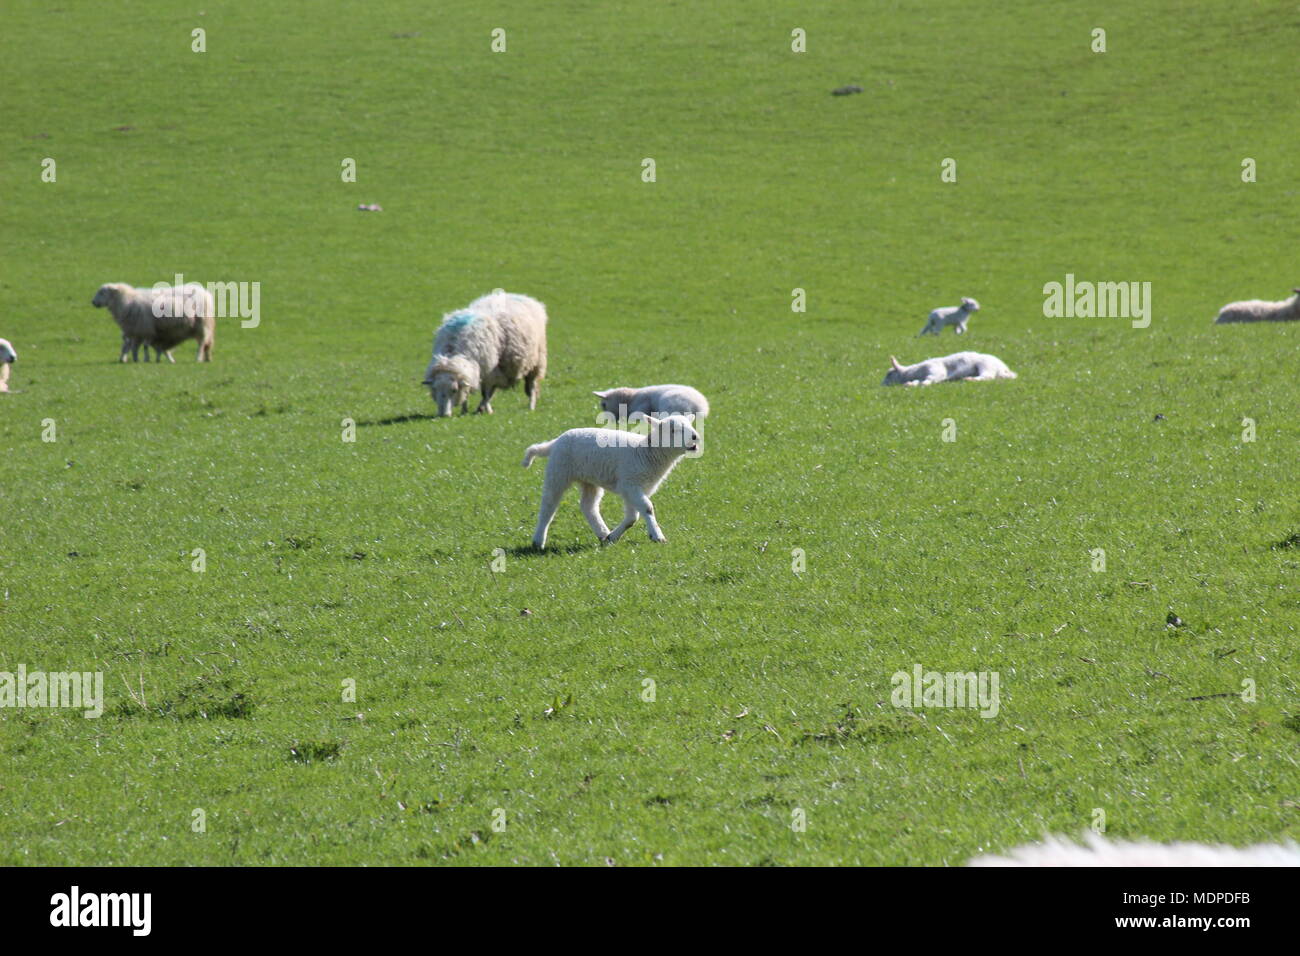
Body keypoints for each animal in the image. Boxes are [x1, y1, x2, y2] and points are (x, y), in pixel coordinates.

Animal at [522, 414, 700, 549]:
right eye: (673, 430)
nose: (695, 437)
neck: (646, 451)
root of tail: (556, 441)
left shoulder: (633, 487)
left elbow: (632, 518)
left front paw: (612, 537)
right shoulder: (630, 483)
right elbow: (647, 508)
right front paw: (657, 536)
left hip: (588, 480)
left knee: (588, 506)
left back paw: (602, 533)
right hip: (558, 471)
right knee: (548, 506)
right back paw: (538, 541)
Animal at [882, 351, 1016, 386]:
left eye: (889, 374)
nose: (881, 385)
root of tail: (1004, 368)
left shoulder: (935, 370)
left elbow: (927, 381)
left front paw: (921, 384)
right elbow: (917, 382)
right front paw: (910, 384)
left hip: (986, 365)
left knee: (987, 376)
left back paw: (970, 379)